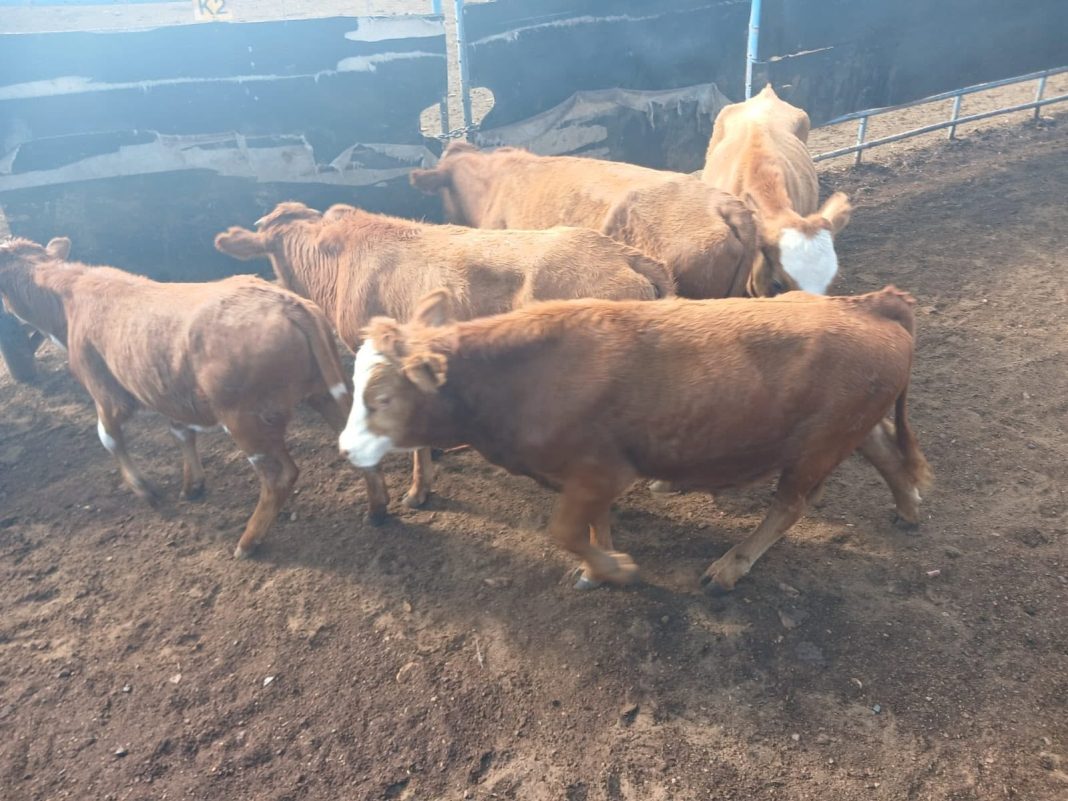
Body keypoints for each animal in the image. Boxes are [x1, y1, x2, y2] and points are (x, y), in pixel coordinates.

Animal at [0, 236, 382, 558]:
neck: (69, 295)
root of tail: (288, 303)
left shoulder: (104, 393)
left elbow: (109, 438)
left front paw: (146, 490)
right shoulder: (165, 389)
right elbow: (181, 432)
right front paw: (192, 485)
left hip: (244, 418)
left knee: (278, 476)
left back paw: (248, 542)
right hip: (322, 393)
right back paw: (378, 511)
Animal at [338, 286, 932, 594]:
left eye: (382, 398)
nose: (344, 449)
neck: (521, 376)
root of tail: (870, 304)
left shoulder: (600, 470)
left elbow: (564, 530)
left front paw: (614, 569)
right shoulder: (589, 475)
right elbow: (593, 525)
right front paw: (599, 562)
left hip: (817, 447)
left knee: (789, 507)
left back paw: (731, 565)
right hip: (847, 429)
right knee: (885, 451)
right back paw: (909, 508)